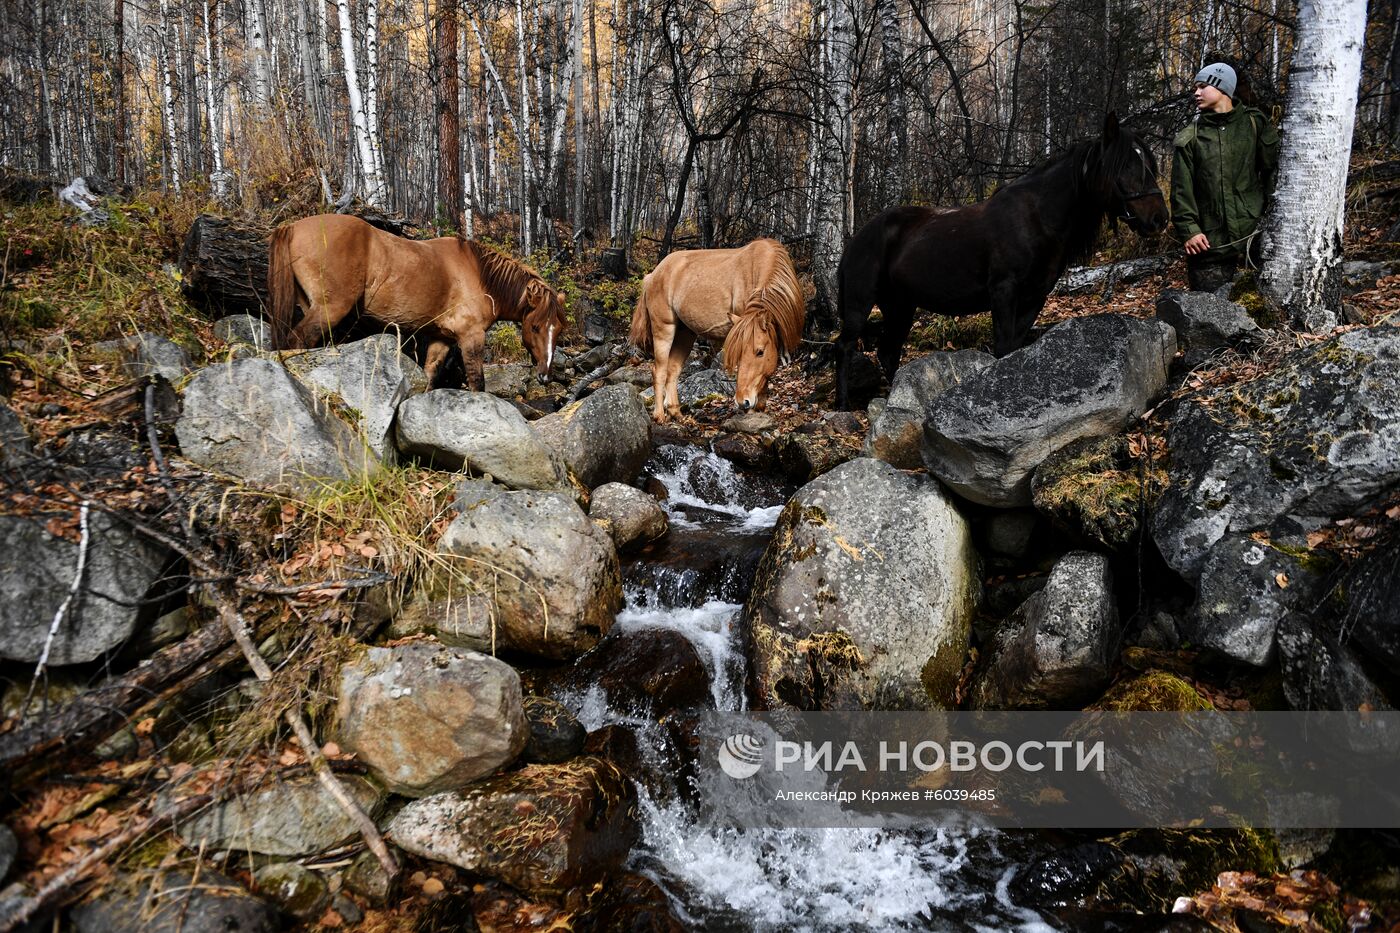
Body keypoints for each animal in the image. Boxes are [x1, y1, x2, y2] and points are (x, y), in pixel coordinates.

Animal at [264, 212, 565, 389]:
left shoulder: (442, 338)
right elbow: (477, 382)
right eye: (535, 327)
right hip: (329, 309)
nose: (545, 375)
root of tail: (292, 226)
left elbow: (429, 377)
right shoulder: (471, 337)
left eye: (558, 330)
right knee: (297, 341)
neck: (480, 277)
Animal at [630, 236, 806, 420]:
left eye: (760, 352)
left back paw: (675, 412)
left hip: (685, 333)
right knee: (659, 371)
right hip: (664, 330)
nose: (743, 401)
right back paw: (659, 416)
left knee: (673, 369)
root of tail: (654, 274)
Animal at [828, 112, 1170, 406]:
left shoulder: (1034, 298)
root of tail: (856, 238)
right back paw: (844, 404)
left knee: (889, 352)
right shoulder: (1004, 291)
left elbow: (1013, 348)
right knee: (844, 347)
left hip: (901, 305)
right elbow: (1003, 347)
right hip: (860, 303)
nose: (1159, 218)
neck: (1037, 218)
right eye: (1124, 166)